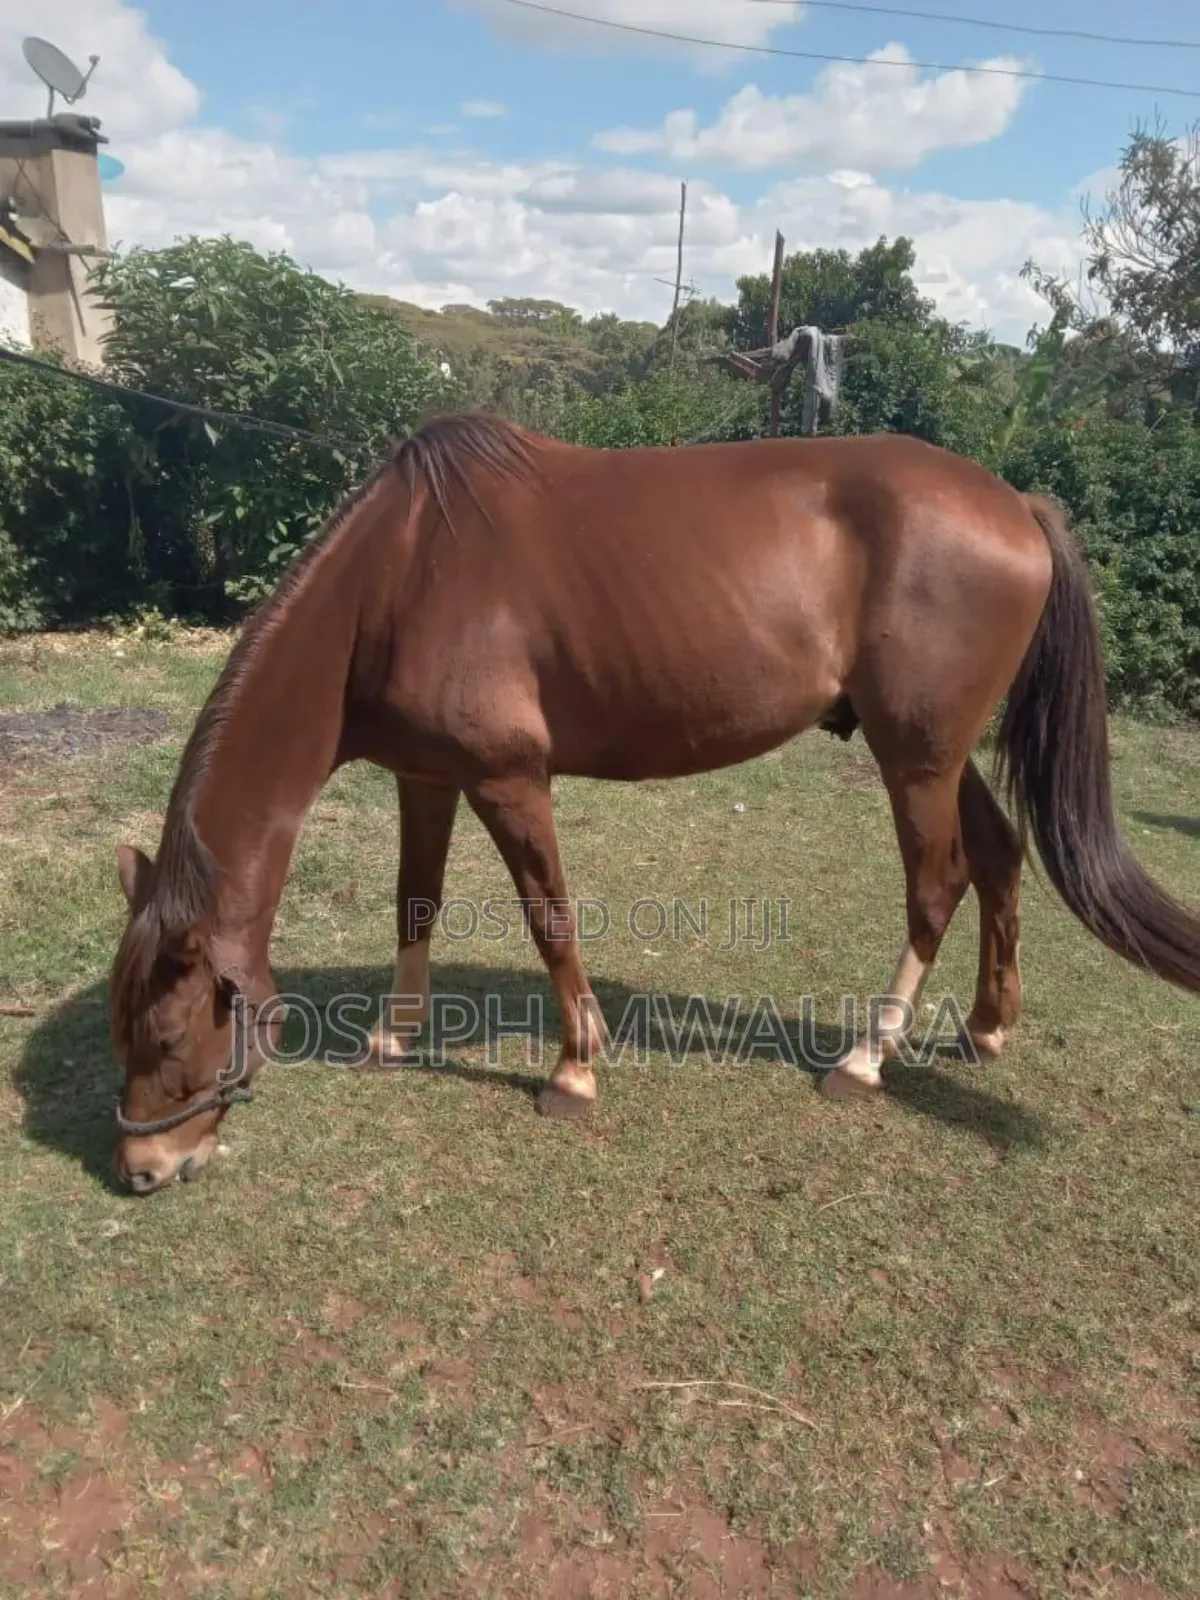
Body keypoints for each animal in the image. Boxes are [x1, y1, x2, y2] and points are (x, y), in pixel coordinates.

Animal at [108, 414, 1200, 1194]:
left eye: (165, 1036)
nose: (143, 1169)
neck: (401, 573)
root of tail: (1013, 504)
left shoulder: (510, 780)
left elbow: (549, 917)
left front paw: (575, 1071)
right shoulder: (428, 776)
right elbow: (415, 899)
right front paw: (391, 1037)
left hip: (916, 760)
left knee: (939, 882)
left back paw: (865, 1059)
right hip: (934, 752)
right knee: (1003, 856)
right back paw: (985, 1026)